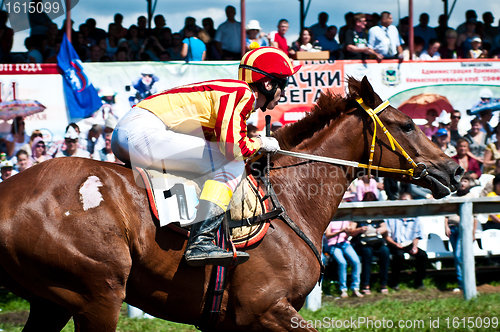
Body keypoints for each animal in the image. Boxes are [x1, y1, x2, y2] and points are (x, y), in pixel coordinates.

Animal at [0, 76, 460, 330]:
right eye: (406, 125)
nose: (455, 170)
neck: (290, 200)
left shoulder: (228, 323)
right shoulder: (267, 310)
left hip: (52, 303)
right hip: (97, 296)